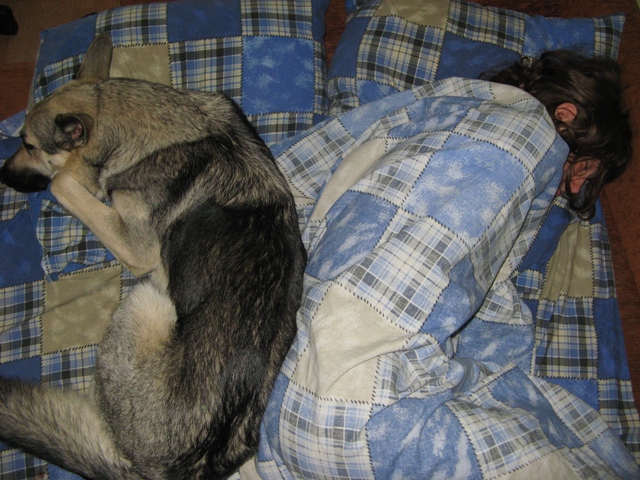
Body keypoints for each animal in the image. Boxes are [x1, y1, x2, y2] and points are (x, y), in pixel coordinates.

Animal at [0, 34, 306, 480]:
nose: (1, 174)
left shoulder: (135, 244)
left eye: (29, 145)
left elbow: (60, 182)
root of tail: (173, 468)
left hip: (144, 301)